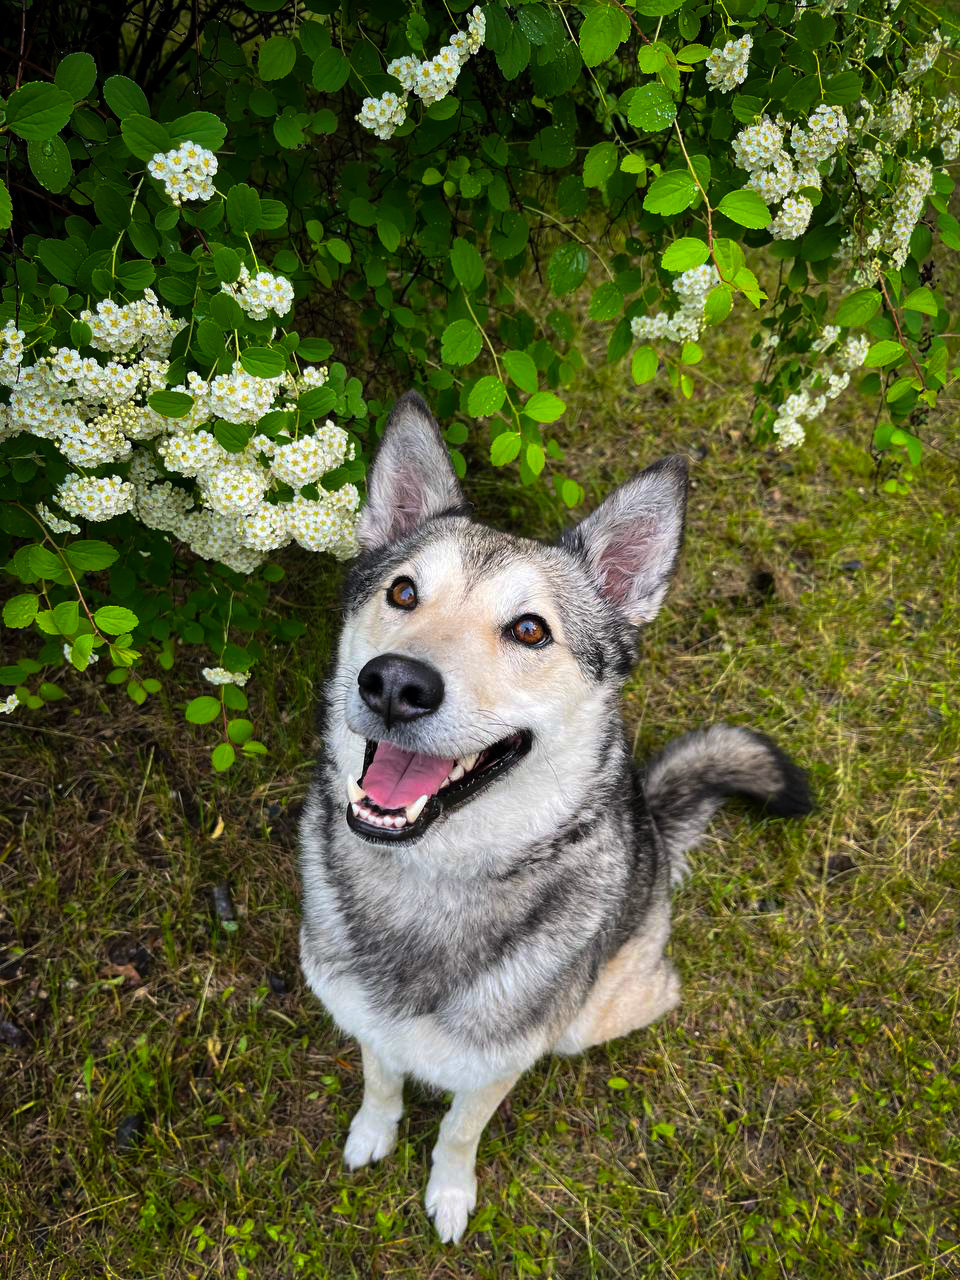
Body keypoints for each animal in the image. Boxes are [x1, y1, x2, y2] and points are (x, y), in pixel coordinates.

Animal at [300, 389, 814, 1239]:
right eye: (402, 592)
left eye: (529, 629)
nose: (394, 684)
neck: (430, 881)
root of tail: (649, 822)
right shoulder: (367, 1022)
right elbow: (381, 1082)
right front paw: (374, 1132)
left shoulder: (496, 1067)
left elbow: (457, 1131)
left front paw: (449, 1193)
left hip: (592, 1016)